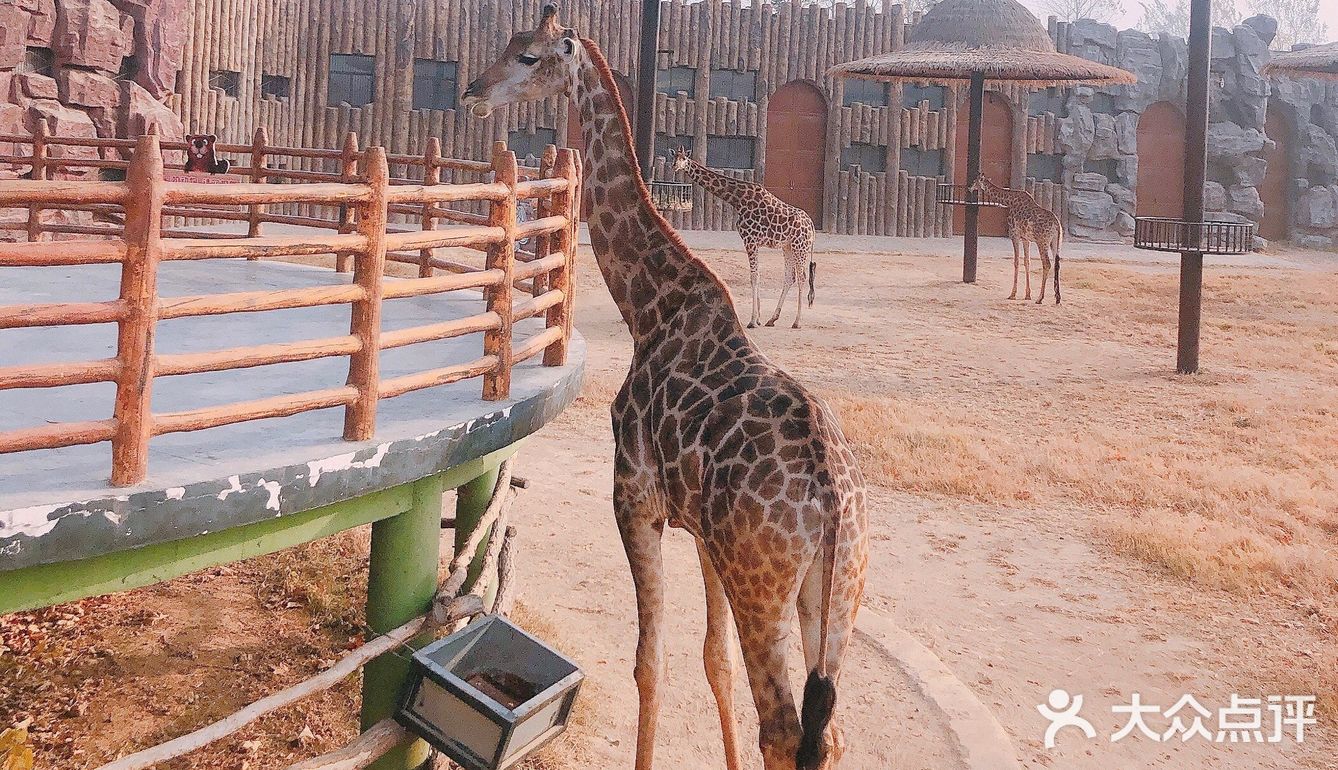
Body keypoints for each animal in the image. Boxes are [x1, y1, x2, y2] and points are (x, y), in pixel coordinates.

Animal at [669, 146, 813, 328]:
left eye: (684, 159)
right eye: (674, 156)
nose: (674, 166)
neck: (738, 200)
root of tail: (812, 227)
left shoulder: (750, 239)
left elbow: (754, 276)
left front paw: (752, 321)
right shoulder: (754, 242)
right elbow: (757, 275)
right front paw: (758, 318)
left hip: (800, 247)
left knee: (801, 277)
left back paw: (797, 322)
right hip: (787, 247)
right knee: (790, 277)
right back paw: (772, 319)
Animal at [974, 174, 1065, 303]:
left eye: (975, 181)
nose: (969, 188)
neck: (1010, 201)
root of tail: (1057, 225)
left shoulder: (1014, 235)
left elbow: (1016, 261)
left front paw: (1013, 294)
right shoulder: (1025, 239)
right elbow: (1027, 262)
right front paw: (1027, 295)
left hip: (1042, 242)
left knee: (1047, 264)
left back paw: (1040, 298)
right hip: (1055, 243)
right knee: (1057, 264)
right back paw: (1057, 298)